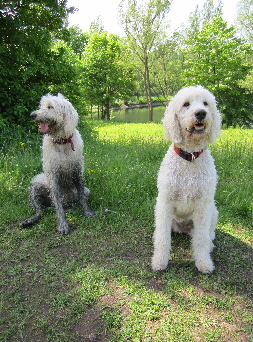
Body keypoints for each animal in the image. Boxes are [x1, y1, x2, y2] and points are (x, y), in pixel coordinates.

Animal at [21, 93, 95, 235]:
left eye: (50, 107)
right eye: (41, 106)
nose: (32, 115)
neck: (62, 143)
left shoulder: (77, 172)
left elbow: (82, 198)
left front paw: (87, 212)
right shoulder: (53, 177)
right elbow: (58, 205)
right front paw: (63, 224)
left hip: (85, 192)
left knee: (73, 201)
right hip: (35, 188)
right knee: (41, 210)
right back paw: (31, 220)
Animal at [152, 87, 221, 274]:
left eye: (206, 103)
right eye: (186, 104)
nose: (201, 113)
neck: (190, 157)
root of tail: (184, 229)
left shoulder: (203, 207)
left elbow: (201, 239)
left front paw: (204, 263)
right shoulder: (165, 203)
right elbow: (162, 237)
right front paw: (160, 261)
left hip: (213, 212)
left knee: (208, 235)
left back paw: (210, 245)